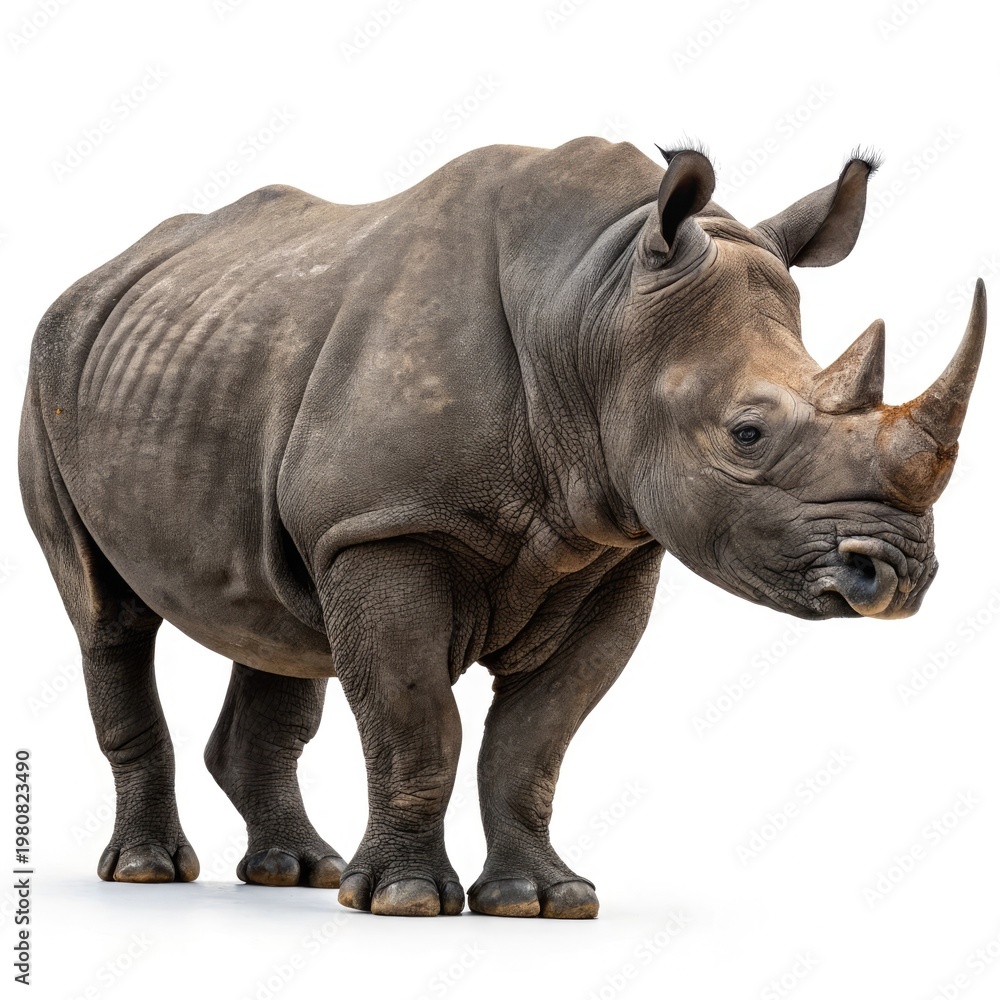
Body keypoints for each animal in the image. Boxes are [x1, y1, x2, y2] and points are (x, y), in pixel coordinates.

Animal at [19, 137, 986, 918]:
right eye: (747, 435)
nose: (896, 574)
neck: (595, 305)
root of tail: (104, 272)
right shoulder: (387, 527)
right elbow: (416, 717)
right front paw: (404, 901)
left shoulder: (612, 548)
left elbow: (534, 741)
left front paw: (542, 900)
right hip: (50, 366)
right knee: (108, 616)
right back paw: (149, 872)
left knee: (279, 623)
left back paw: (297, 872)